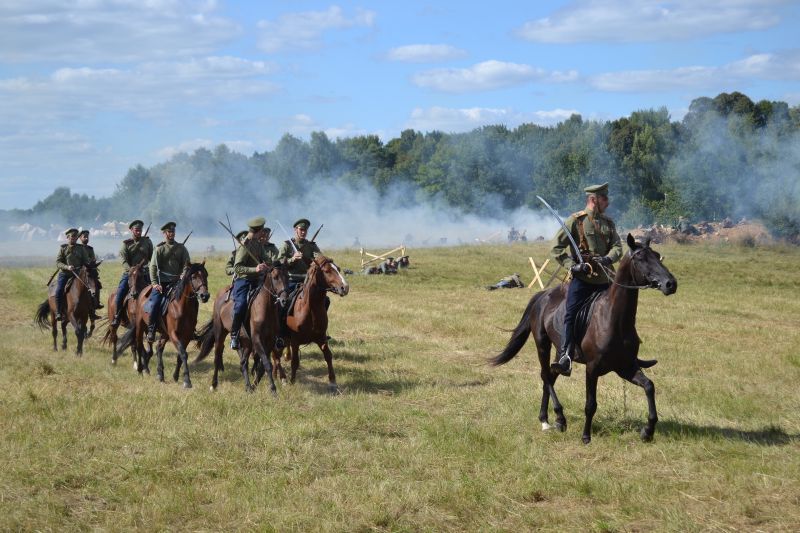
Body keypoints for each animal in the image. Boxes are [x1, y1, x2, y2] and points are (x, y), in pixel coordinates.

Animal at [195, 260, 290, 392]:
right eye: (275, 277)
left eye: (287, 277)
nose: (285, 300)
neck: (266, 308)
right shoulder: (257, 339)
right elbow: (267, 364)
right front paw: (273, 390)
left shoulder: (269, 341)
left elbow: (262, 367)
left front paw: (255, 386)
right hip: (221, 333)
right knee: (217, 356)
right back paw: (213, 384)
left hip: (246, 342)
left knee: (243, 362)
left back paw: (248, 387)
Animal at [276, 256, 348, 392]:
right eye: (327, 271)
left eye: (338, 268)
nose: (345, 288)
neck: (309, 310)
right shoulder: (295, 341)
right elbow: (295, 361)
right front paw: (293, 381)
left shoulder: (321, 338)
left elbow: (328, 356)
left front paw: (333, 382)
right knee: (275, 357)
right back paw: (282, 378)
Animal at [490, 235, 680, 442]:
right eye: (640, 258)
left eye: (657, 256)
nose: (670, 284)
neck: (615, 319)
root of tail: (543, 295)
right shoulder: (592, 368)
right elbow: (591, 404)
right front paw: (586, 436)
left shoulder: (625, 367)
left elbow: (649, 386)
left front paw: (648, 431)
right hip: (542, 345)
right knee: (546, 376)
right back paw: (559, 418)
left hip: (560, 354)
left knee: (551, 375)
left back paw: (546, 418)